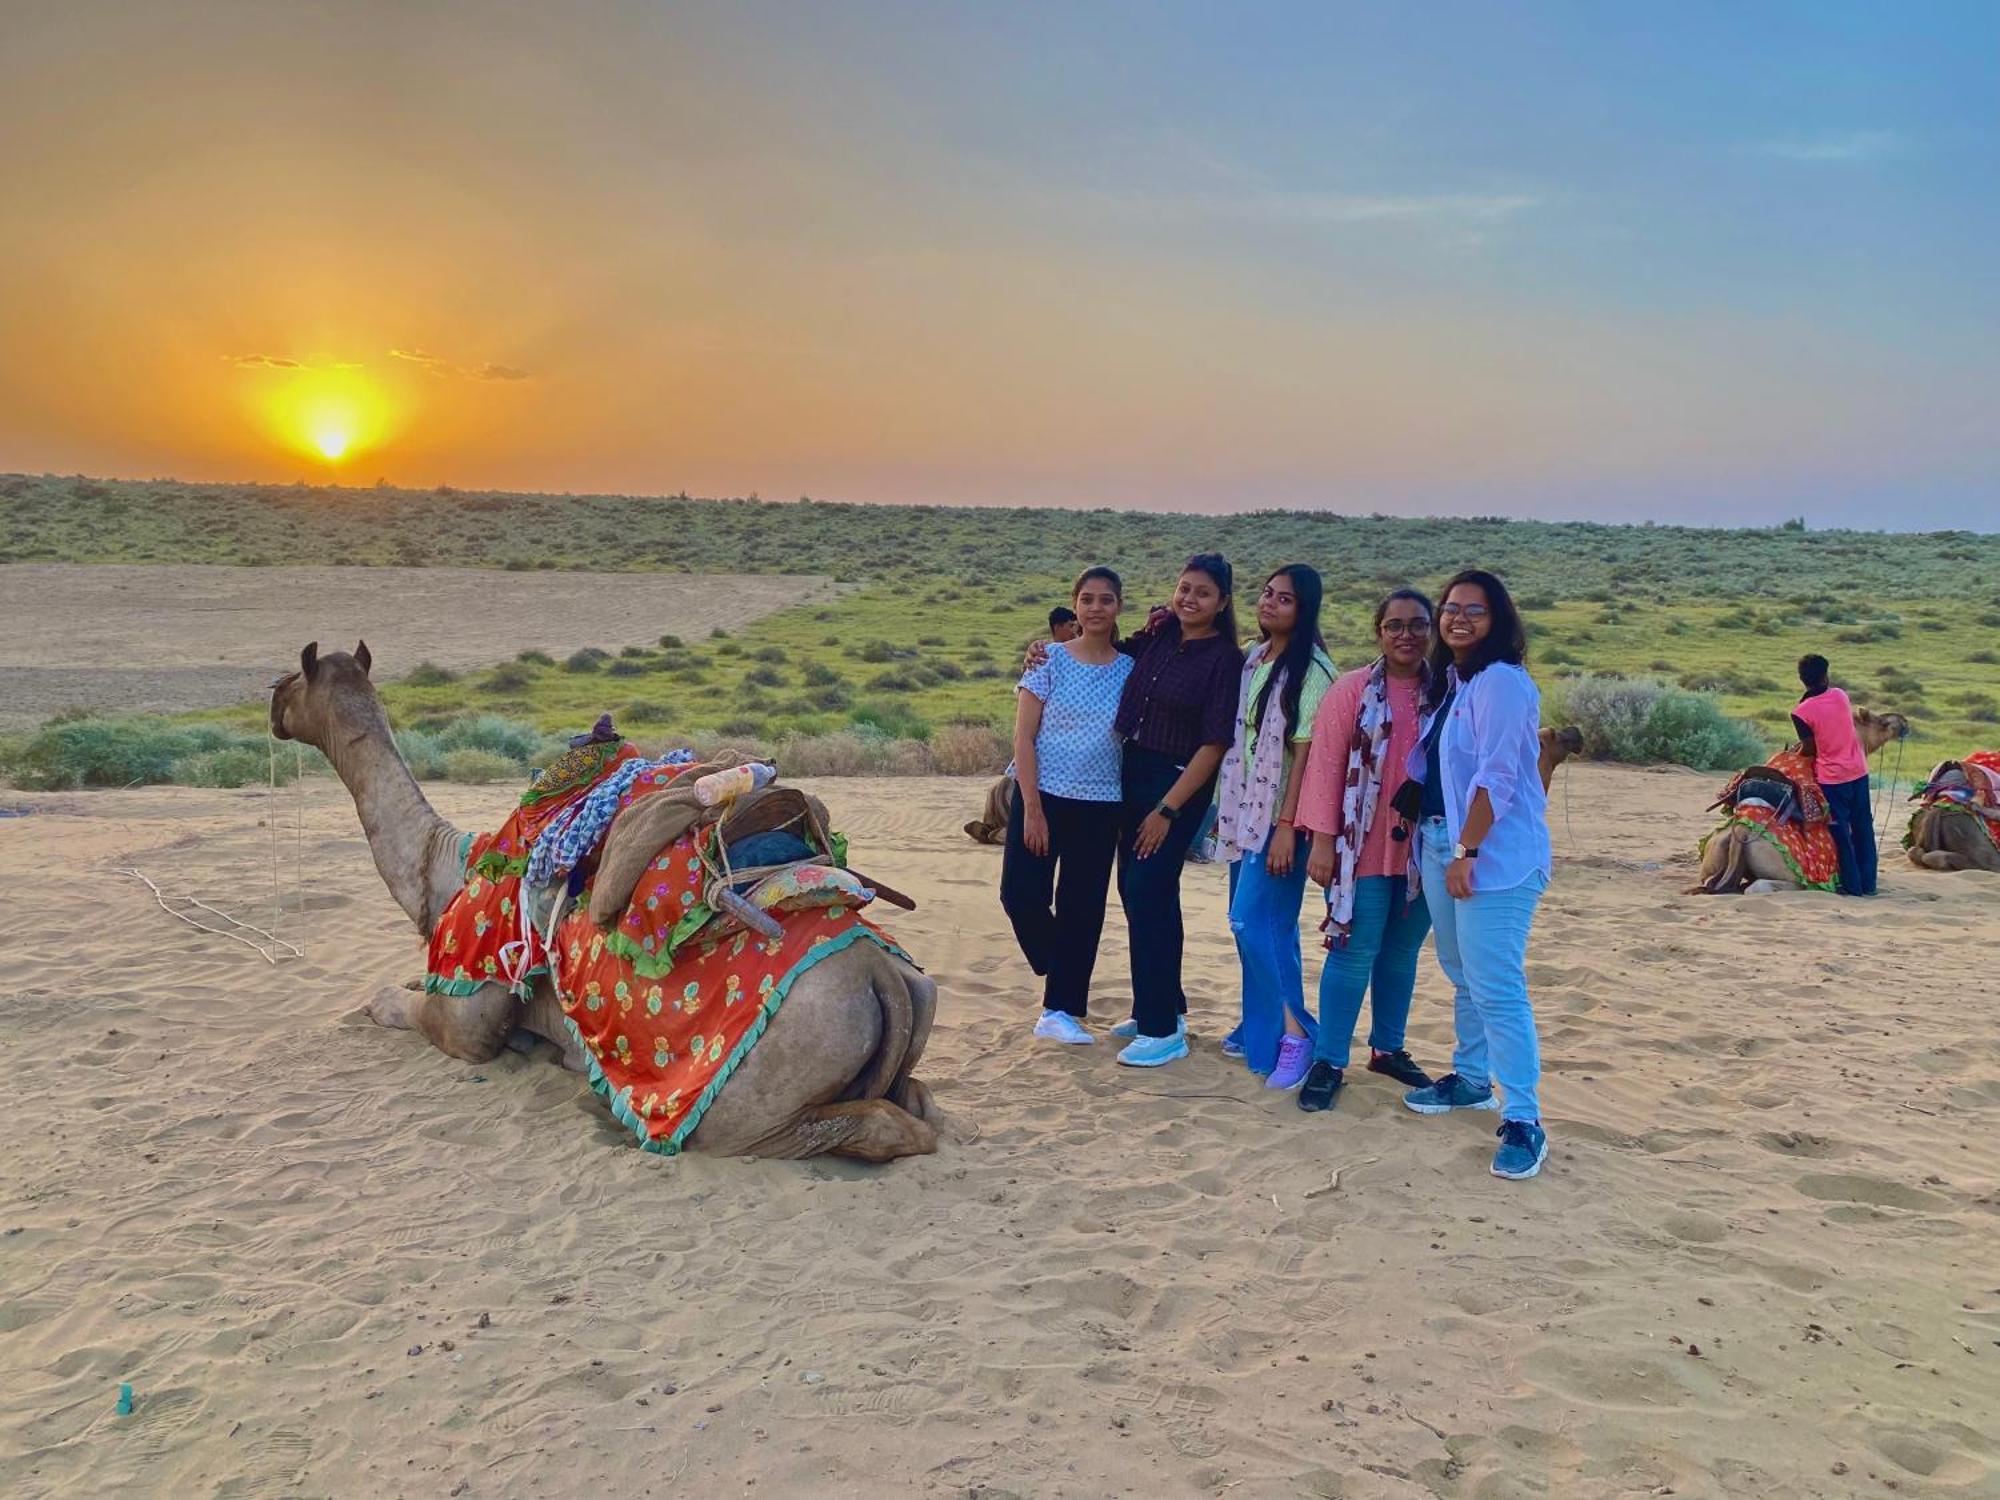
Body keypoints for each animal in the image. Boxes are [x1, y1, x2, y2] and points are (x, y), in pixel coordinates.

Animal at [268, 640, 944, 1168]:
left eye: (295, 678)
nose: (271, 700)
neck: (441, 869)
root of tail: (882, 976)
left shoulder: (470, 1009)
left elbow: (405, 1009)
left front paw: (379, 1002)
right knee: (920, 1104)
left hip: (751, 1098)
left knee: (854, 1129)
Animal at [1688, 712, 1904, 900]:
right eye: (1881, 721)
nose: (1902, 721)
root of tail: (1742, 831)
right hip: (1789, 871)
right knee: (1762, 886)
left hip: (1714, 855)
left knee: (1711, 881)